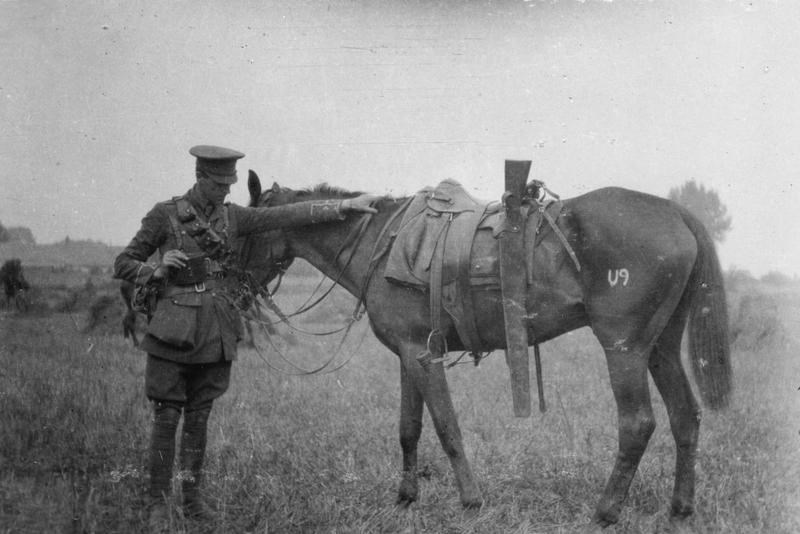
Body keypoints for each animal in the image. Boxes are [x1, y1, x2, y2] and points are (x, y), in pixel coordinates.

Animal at [246, 173, 732, 529]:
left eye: (252, 226)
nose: (238, 281)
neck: (384, 242)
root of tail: (675, 212)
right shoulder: (408, 355)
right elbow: (409, 428)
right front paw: (405, 498)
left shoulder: (423, 355)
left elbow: (447, 427)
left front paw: (470, 501)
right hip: (660, 348)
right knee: (685, 415)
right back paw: (680, 509)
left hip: (625, 350)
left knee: (638, 424)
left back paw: (606, 511)